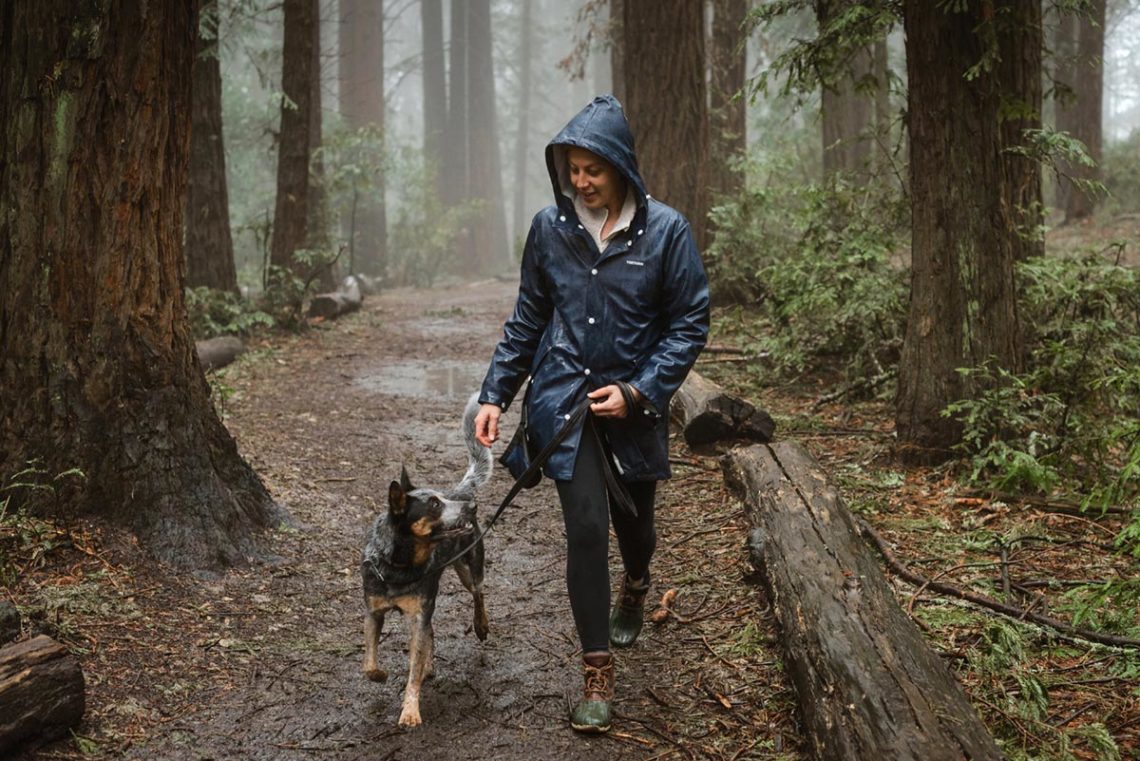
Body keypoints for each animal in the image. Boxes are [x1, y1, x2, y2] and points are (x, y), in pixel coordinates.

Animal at [362, 391, 492, 724]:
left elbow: (412, 670)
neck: (399, 567)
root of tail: (460, 489)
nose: (471, 507)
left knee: (479, 593)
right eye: (434, 504)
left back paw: (481, 624)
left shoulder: (418, 615)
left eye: (441, 500)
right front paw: (380, 675)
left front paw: (410, 711)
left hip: (468, 567)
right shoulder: (374, 612)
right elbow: (369, 664)